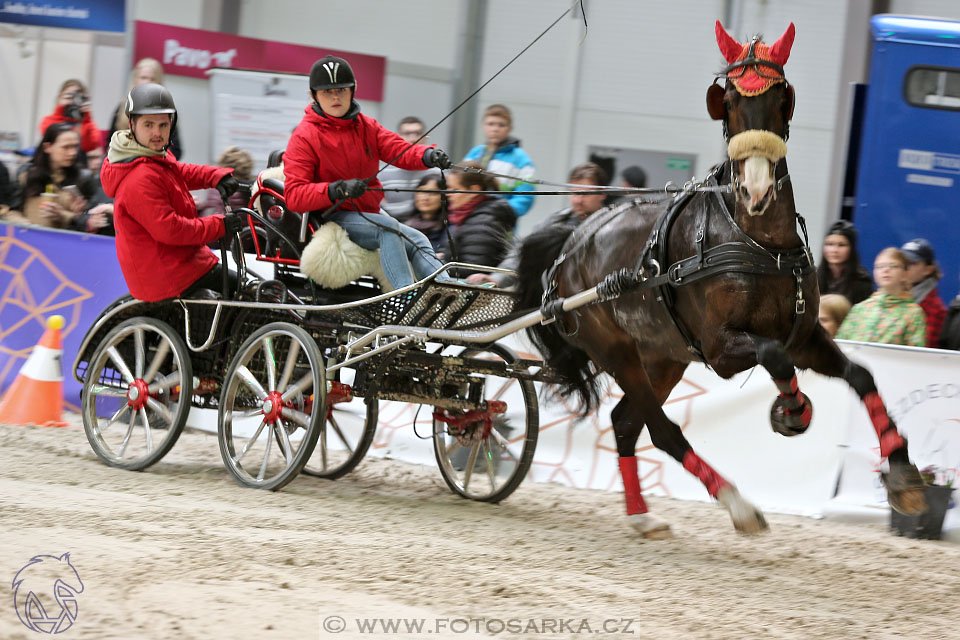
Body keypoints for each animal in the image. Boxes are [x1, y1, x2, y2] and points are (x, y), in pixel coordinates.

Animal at [516, 20, 928, 536]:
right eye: (728, 100)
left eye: (780, 96)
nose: (756, 188)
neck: (759, 244)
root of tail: (570, 245)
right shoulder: (722, 348)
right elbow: (774, 358)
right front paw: (792, 410)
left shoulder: (804, 335)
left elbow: (861, 374)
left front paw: (904, 476)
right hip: (616, 352)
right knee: (659, 428)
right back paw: (737, 503)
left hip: (664, 356)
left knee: (627, 421)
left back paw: (642, 515)